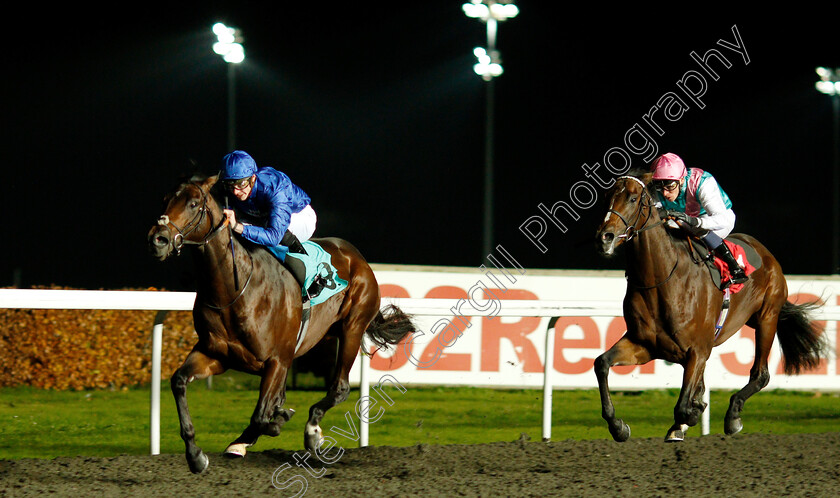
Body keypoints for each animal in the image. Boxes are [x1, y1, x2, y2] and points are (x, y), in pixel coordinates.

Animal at [148, 176, 416, 474]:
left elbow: (262, 414)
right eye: (165, 199)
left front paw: (278, 423)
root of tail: (356, 256)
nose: (158, 239)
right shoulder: (216, 355)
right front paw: (196, 455)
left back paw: (311, 431)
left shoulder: (276, 360)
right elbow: (179, 381)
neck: (233, 290)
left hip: (352, 328)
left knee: (339, 387)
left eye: (194, 203)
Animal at [592, 173, 824, 442]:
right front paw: (618, 426)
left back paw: (732, 416)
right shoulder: (644, 345)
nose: (604, 237)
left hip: (767, 317)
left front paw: (692, 413)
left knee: (761, 374)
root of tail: (764, 252)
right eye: (607, 197)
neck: (661, 281)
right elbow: (602, 363)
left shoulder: (698, 350)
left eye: (632, 198)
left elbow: (685, 405)